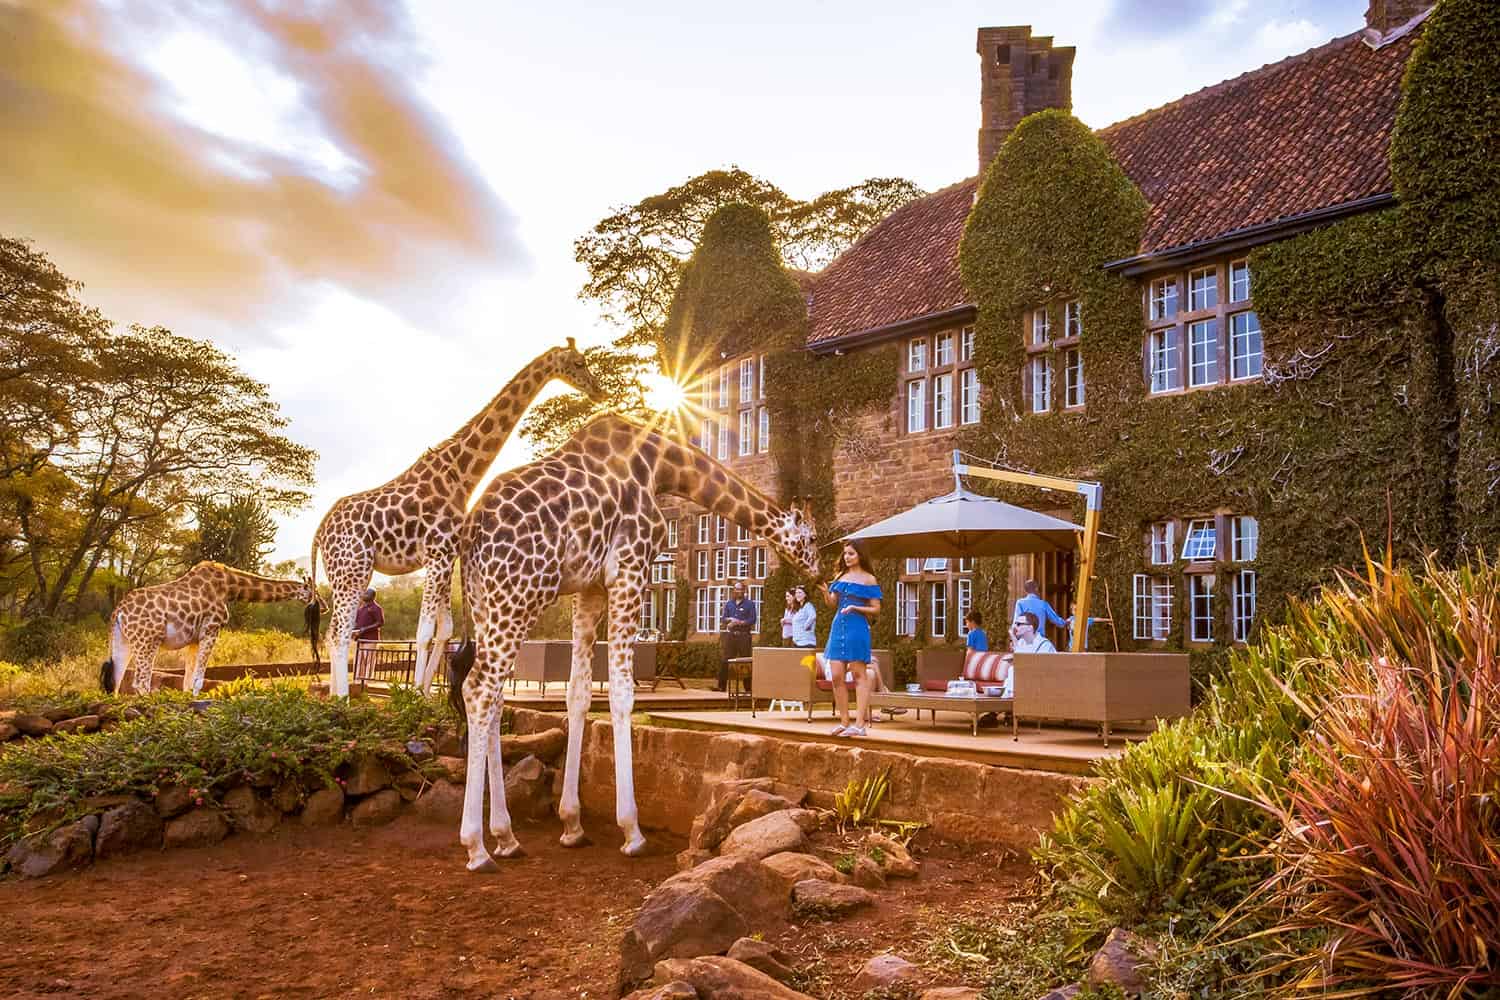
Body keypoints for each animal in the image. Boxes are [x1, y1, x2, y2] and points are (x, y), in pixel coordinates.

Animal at [100, 561, 317, 696]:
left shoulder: (194, 639)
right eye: (315, 593)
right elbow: (198, 679)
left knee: (116, 681)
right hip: (147, 641)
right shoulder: (212, 629)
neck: (230, 587)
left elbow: (187, 680)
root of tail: (118, 612)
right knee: (141, 682)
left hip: (124, 641)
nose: (323, 605)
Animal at [310, 341, 605, 696]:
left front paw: (424, 693)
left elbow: (444, 630)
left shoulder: (447, 556)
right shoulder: (436, 554)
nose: (599, 391)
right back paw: (342, 699)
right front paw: (412, 694)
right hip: (352, 568)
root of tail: (319, 532)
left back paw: (332, 695)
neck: (460, 476)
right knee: (339, 632)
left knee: (333, 632)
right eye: (579, 362)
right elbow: (424, 632)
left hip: (347, 571)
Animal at [448, 412, 821, 871]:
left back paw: (506, 836)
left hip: (487, 601)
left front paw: (572, 825)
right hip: (521, 593)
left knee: (495, 697)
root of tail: (470, 532)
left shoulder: (589, 588)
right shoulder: (629, 570)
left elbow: (578, 694)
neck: (662, 468)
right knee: (479, 689)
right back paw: (476, 847)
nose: (821, 574)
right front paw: (632, 831)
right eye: (811, 538)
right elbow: (622, 693)